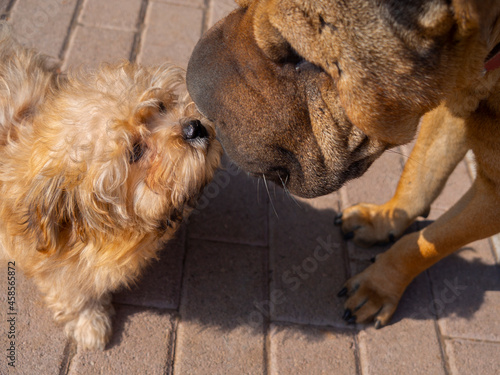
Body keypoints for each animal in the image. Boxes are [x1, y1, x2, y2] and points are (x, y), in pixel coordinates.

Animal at [186, 0, 500, 328]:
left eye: (295, 53)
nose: (193, 88)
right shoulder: (451, 111)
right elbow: (419, 176)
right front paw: (385, 218)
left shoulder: (492, 198)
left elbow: (427, 244)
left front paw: (378, 285)